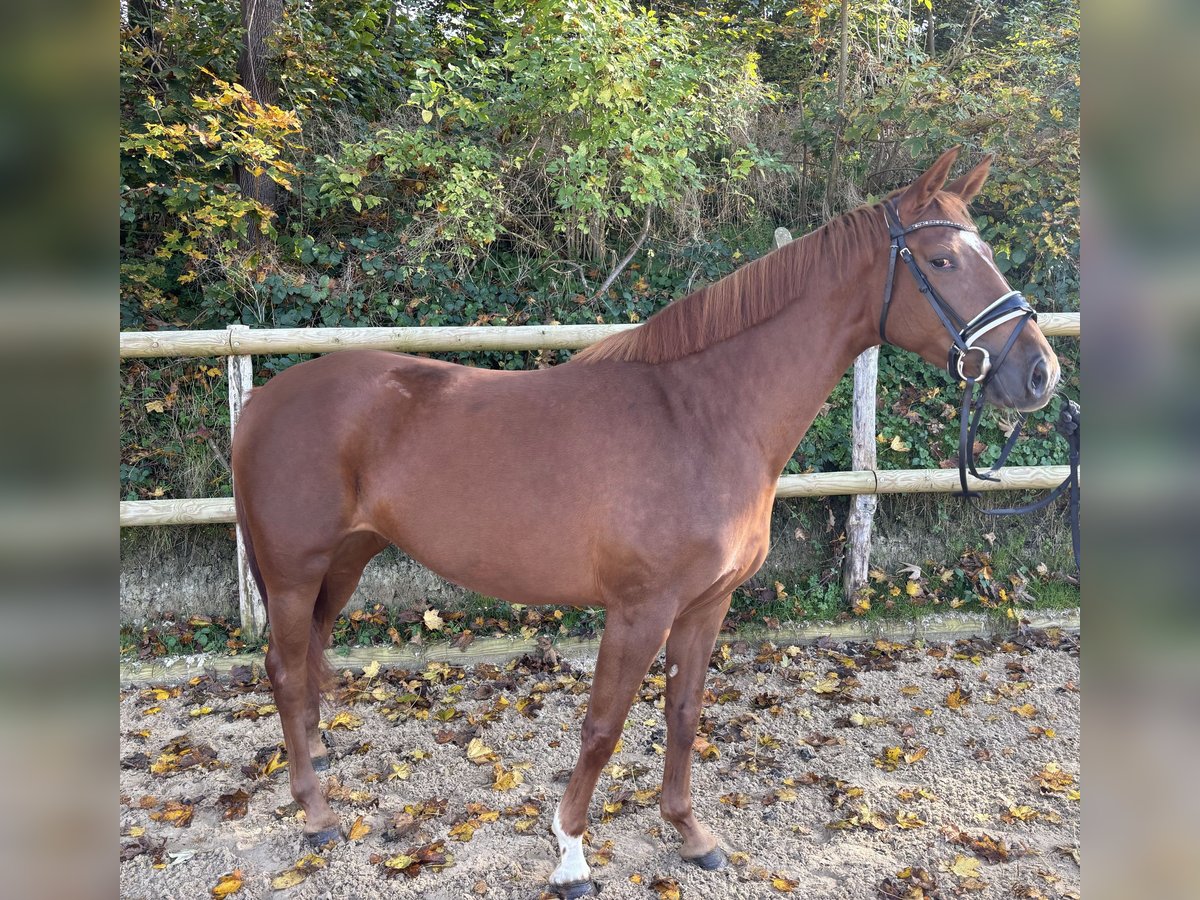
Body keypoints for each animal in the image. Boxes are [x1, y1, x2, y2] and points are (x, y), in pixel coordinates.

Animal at [234, 151, 1060, 897]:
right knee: (285, 670)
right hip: (296, 571)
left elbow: (684, 713)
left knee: (312, 660)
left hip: (347, 560)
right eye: (944, 260)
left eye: (986, 254)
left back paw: (321, 766)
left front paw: (691, 834)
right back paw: (315, 814)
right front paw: (571, 854)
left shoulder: (705, 604)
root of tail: (263, 402)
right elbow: (603, 727)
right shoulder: (639, 609)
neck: (701, 415)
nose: (1040, 373)